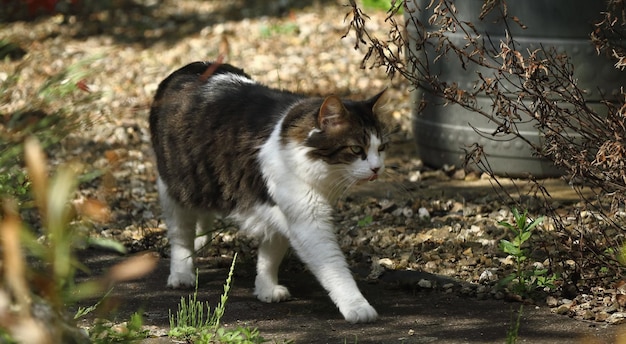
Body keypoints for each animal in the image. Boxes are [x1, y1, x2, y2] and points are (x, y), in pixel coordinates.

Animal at [148, 61, 388, 322]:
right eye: (356, 149)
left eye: (381, 148)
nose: (377, 168)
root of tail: (189, 68)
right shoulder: (307, 221)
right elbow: (334, 268)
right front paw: (357, 306)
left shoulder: (281, 213)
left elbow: (270, 255)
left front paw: (266, 288)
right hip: (175, 187)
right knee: (180, 236)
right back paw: (181, 274)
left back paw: (202, 239)